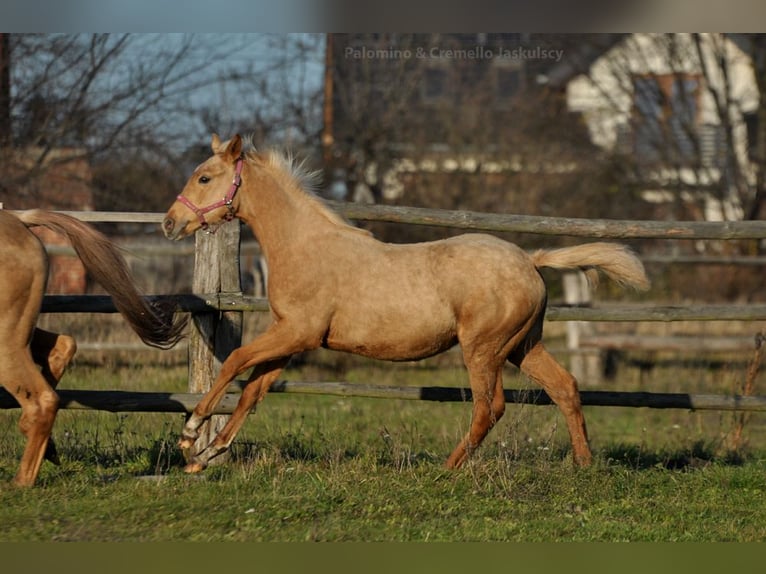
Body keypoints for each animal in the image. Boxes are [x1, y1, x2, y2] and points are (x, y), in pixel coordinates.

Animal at [0, 209, 186, 488]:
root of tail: (20, 220)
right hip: (21, 332)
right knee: (63, 347)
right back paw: (44, 445)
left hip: (7, 338)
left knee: (43, 399)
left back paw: (21, 482)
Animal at [165, 136, 652, 476]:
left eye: (204, 177)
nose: (171, 223)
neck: (306, 245)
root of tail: (530, 261)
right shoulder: (292, 339)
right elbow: (252, 391)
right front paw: (207, 455)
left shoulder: (296, 332)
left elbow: (234, 363)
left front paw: (191, 435)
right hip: (521, 346)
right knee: (565, 387)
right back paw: (584, 464)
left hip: (484, 349)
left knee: (489, 407)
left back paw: (448, 469)